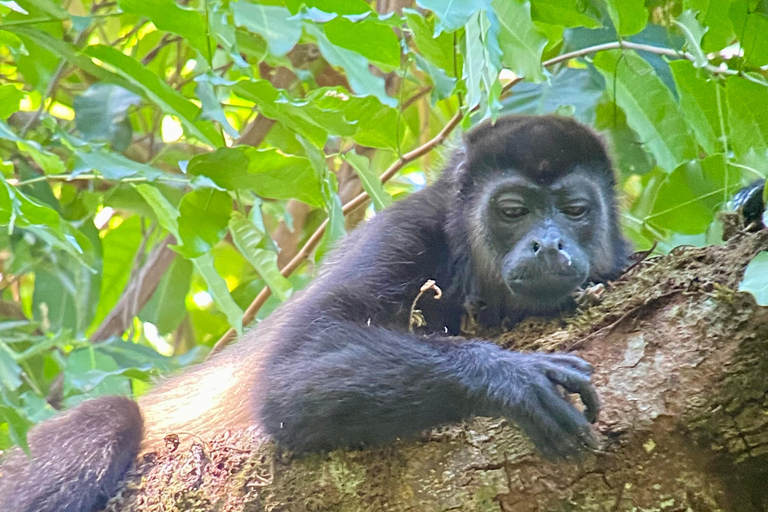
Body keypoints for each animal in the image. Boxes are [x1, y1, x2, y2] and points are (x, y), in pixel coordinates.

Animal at [0, 115, 632, 512]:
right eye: (513, 210)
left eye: (576, 210)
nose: (547, 244)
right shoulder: (406, 232)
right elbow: (286, 380)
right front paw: (512, 377)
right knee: (109, 417)